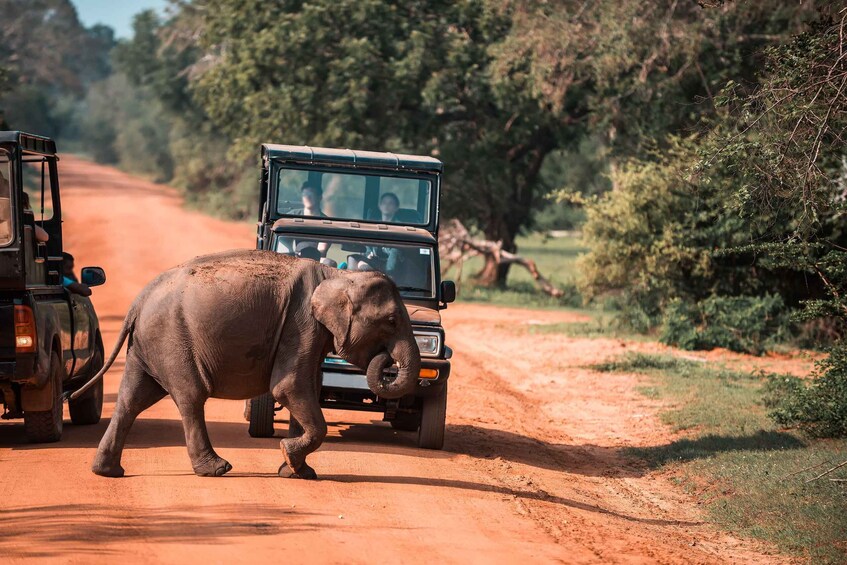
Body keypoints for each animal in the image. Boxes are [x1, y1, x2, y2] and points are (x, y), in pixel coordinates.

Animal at [79, 249, 421, 479]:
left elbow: (305, 388)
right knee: (190, 397)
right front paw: (290, 458)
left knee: (132, 400)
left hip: (147, 345)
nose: (385, 358)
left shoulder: (310, 333)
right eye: (392, 321)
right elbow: (288, 388)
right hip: (171, 340)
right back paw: (216, 468)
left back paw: (107, 471)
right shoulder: (301, 324)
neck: (336, 276)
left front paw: (297, 471)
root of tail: (138, 301)